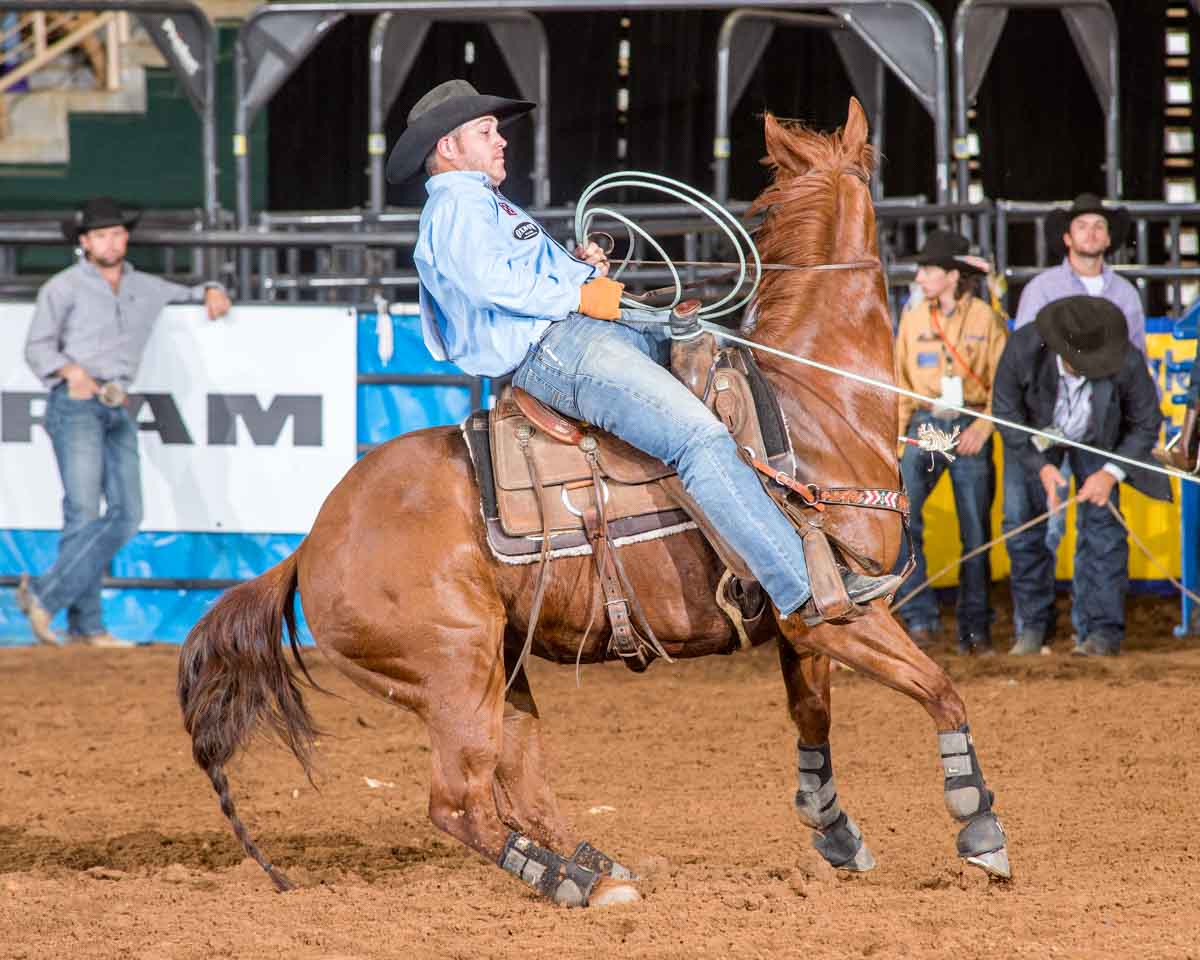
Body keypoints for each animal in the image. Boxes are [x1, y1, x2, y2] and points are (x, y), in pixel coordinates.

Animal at [177, 99, 1003, 907]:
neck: (814, 403)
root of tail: (309, 546)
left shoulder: (805, 625)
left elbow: (815, 717)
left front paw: (833, 828)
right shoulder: (841, 612)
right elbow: (941, 691)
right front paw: (978, 827)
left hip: (501, 668)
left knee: (521, 788)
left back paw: (601, 872)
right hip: (454, 672)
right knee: (459, 803)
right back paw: (570, 881)